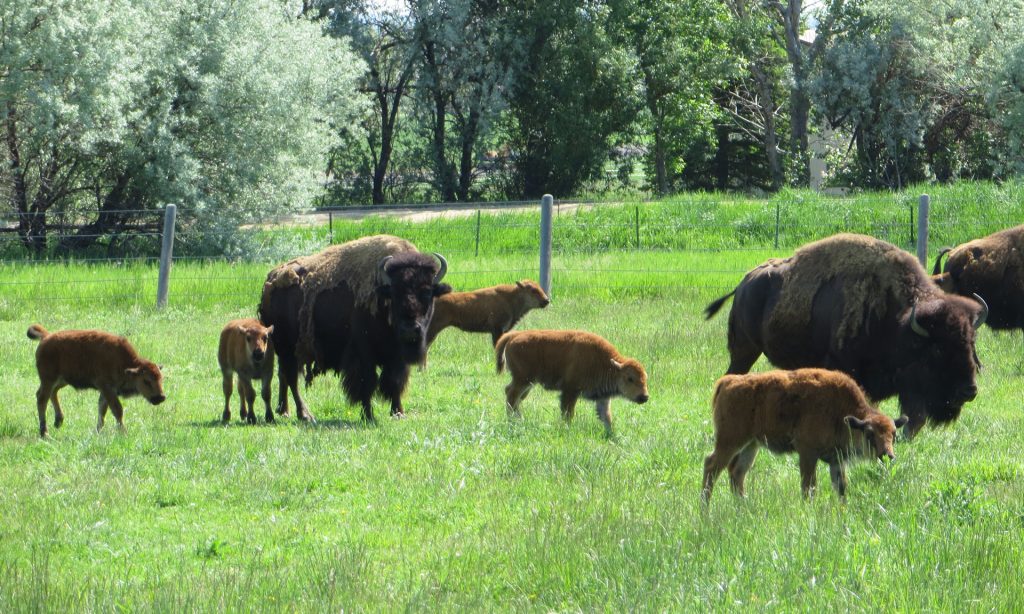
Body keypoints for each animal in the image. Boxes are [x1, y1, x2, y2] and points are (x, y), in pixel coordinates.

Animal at [493, 329, 647, 433]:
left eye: (645, 378)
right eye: (630, 378)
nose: (644, 397)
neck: (608, 365)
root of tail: (514, 335)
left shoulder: (602, 398)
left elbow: (606, 417)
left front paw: (611, 435)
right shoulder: (571, 391)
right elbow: (568, 413)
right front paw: (567, 428)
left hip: (528, 383)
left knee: (513, 395)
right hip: (523, 380)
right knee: (512, 396)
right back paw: (515, 421)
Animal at [700, 368, 909, 503]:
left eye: (893, 434)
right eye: (870, 434)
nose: (888, 455)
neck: (841, 414)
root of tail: (728, 382)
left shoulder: (837, 460)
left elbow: (841, 488)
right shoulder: (807, 453)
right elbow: (809, 487)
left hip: (752, 445)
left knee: (737, 472)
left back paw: (743, 506)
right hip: (730, 441)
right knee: (712, 465)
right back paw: (705, 509)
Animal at [708, 232, 987, 437]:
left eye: (970, 343)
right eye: (938, 348)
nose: (969, 391)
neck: (902, 322)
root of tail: (744, 283)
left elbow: (912, 419)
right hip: (744, 350)